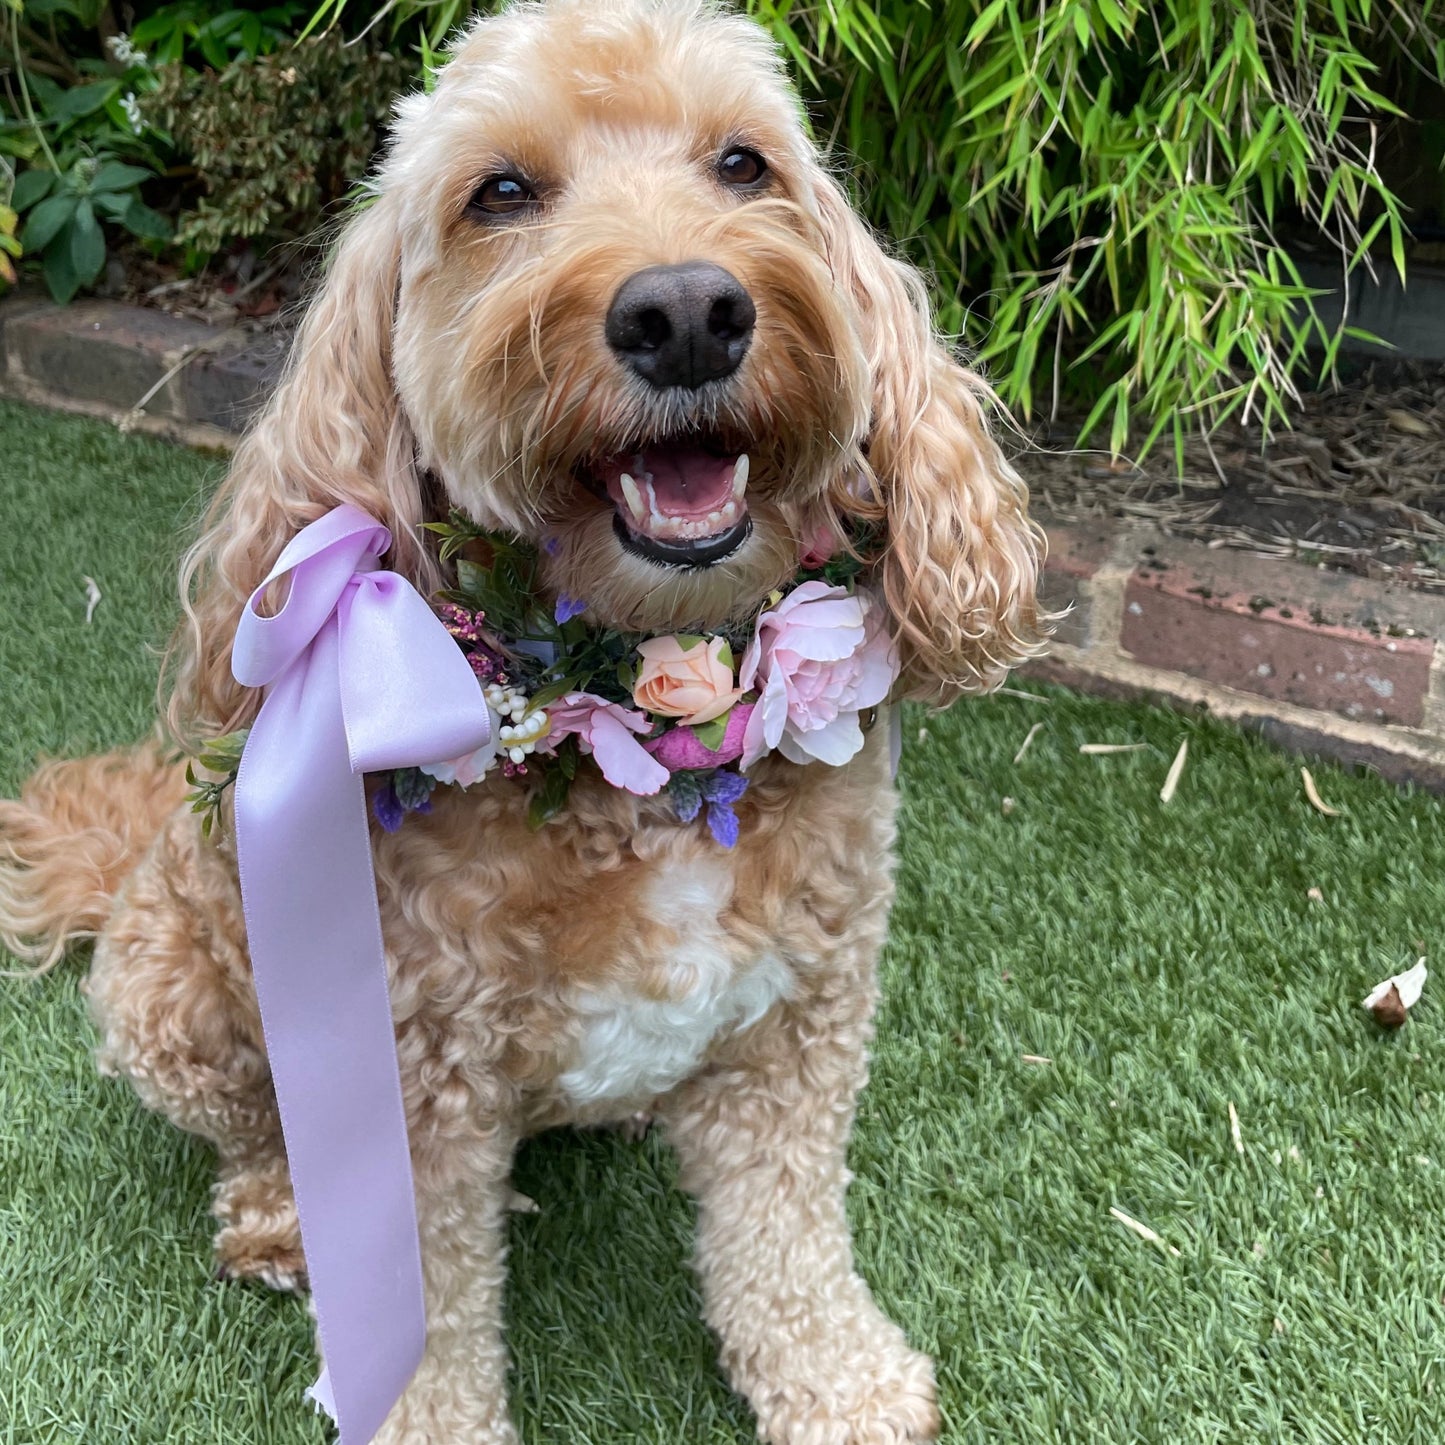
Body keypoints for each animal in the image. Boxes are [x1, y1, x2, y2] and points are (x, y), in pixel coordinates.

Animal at [0, 2, 1040, 1445]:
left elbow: (783, 1232)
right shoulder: (413, 1078)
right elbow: (427, 1307)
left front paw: (838, 1379)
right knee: (256, 1132)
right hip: (173, 990)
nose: (685, 312)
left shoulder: (800, 1019)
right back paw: (278, 1220)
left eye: (742, 163)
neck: (636, 761)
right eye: (499, 193)